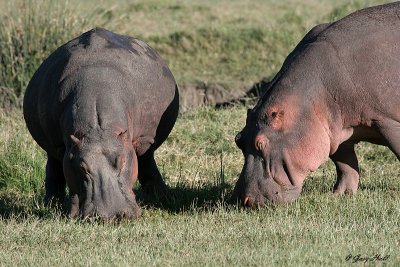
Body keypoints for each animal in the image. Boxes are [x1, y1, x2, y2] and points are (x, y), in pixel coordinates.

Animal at [24, 27, 179, 220]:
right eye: (82, 167)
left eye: (122, 161)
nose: (111, 214)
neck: (98, 131)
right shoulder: (62, 147)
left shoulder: (140, 141)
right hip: (51, 146)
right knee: (53, 169)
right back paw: (51, 204)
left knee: (147, 162)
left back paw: (162, 196)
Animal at [234, 2, 400, 207]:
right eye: (238, 140)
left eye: (260, 144)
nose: (244, 200)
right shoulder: (334, 133)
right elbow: (345, 165)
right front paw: (339, 195)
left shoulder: (387, 121)